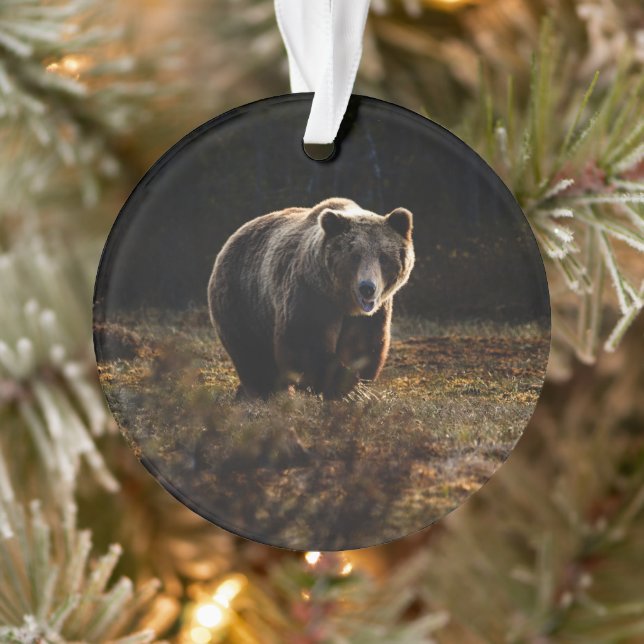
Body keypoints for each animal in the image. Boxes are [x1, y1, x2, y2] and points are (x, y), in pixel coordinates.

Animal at [208, 197, 415, 400]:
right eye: (355, 256)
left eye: (383, 257)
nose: (367, 288)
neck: (342, 301)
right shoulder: (310, 293)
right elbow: (304, 343)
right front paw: (346, 387)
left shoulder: (371, 314)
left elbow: (363, 345)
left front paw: (356, 386)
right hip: (243, 300)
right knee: (253, 354)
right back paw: (265, 392)